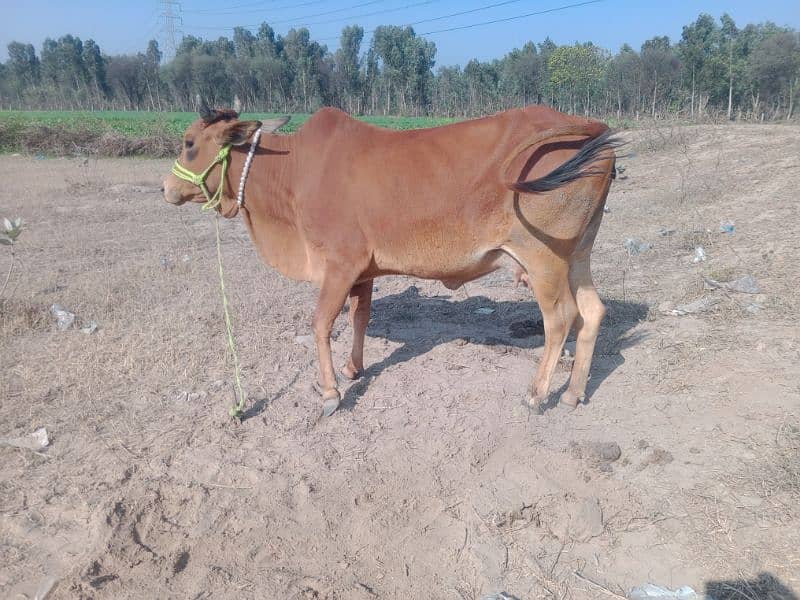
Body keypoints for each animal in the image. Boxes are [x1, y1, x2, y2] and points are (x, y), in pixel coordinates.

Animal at [162, 105, 620, 414]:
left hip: (542, 258)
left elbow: (321, 324)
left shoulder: (340, 264)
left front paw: (330, 392)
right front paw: (353, 368)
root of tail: (592, 126)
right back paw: (574, 393)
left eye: (189, 143)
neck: (292, 171)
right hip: (576, 254)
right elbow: (359, 317)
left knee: (560, 319)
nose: (166, 188)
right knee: (593, 311)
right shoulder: (363, 271)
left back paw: (538, 394)